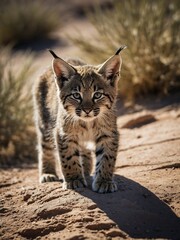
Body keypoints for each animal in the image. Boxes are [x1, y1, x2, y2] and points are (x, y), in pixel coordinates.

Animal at [34, 47, 126, 193]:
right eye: (76, 95)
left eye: (97, 95)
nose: (87, 110)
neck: (88, 123)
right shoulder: (64, 134)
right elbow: (69, 158)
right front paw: (74, 180)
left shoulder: (109, 134)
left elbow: (107, 158)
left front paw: (104, 181)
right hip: (44, 122)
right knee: (45, 147)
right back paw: (47, 173)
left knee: (83, 148)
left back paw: (86, 169)